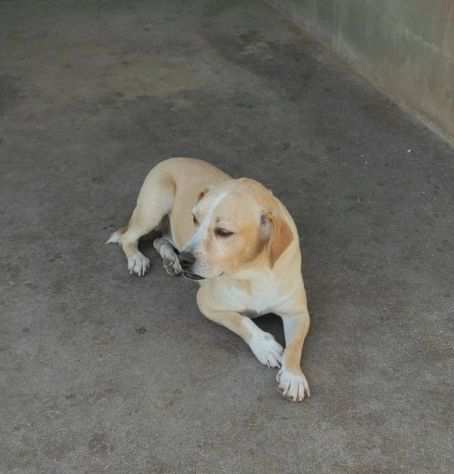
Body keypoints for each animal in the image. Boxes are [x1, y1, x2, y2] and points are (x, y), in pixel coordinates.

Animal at [108, 158, 310, 400]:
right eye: (194, 219)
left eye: (223, 232)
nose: (185, 259)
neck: (252, 273)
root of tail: (172, 158)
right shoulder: (206, 304)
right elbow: (241, 320)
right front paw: (265, 345)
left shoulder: (298, 313)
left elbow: (295, 345)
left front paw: (293, 375)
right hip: (154, 207)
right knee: (128, 238)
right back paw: (138, 258)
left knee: (159, 240)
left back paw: (170, 259)